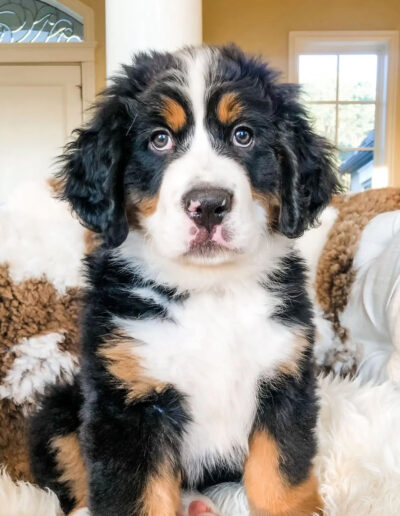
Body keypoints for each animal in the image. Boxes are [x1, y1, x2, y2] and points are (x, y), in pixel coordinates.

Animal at [29, 45, 340, 516]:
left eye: (243, 135)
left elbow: (281, 478)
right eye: (160, 139)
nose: (208, 205)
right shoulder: (127, 403)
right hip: (60, 406)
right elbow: (135, 496)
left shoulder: (284, 380)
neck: (209, 291)